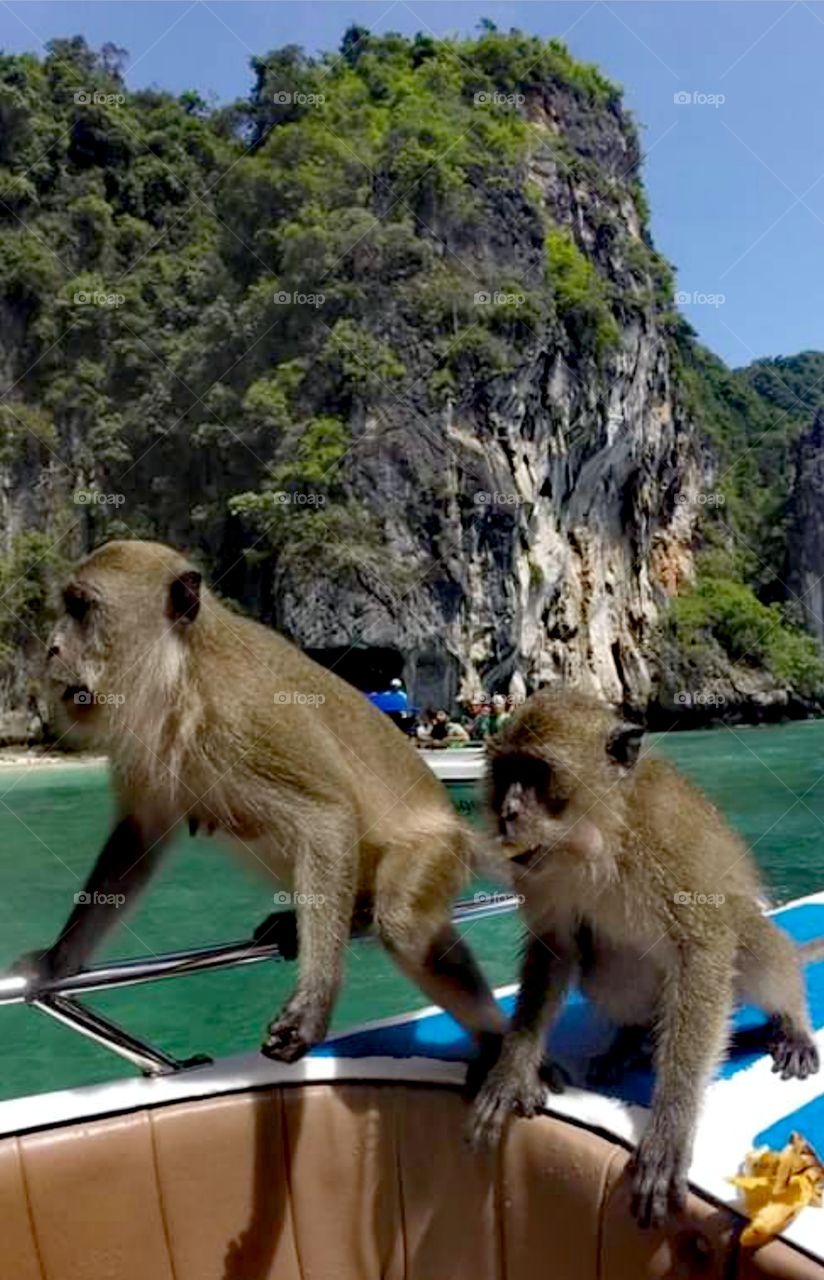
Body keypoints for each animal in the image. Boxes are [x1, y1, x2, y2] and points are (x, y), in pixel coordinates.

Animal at [24, 539, 506, 1061]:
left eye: (81, 608)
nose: (51, 647)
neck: (183, 674)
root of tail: (457, 828)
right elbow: (137, 838)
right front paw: (58, 960)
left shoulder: (242, 718)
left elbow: (326, 816)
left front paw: (314, 1005)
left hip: (435, 851)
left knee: (403, 921)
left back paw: (496, 1042)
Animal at [468, 687, 821, 1228]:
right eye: (507, 772)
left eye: (536, 773)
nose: (507, 812)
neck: (600, 839)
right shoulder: (539, 872)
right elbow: (555, 949)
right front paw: (512, 1071)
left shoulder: (665, 839)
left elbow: (704, 947)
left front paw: (672, 1127)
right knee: (605, 967)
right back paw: (630, 1040)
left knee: (751, 947)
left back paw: (793, 1022)